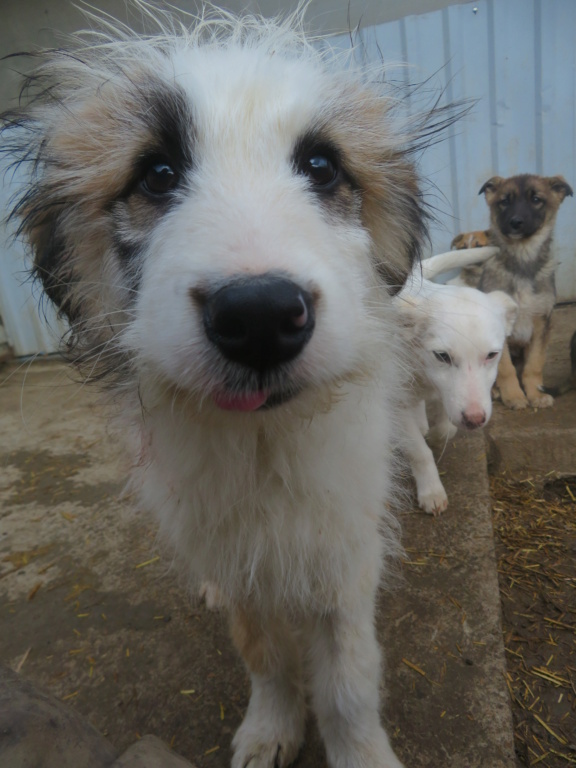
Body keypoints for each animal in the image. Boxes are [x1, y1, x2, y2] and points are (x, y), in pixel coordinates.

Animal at [1, 7, 460, 768]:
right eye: (157, 174)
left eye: (322, 166)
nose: (260, 317)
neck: (261, 441)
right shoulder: (232, 544)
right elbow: (262, 650)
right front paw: (271, 726)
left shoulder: (343, 547)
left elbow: (348, 677)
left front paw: (359, 750)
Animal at [398, 252, 516, 516]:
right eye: (442, 356)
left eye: (492, 355)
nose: (475, 420)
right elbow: (419, 452)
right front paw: (431, 492)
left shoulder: (447, 396)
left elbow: (445, 430)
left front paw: (437, 435)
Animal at [454, 174, 572, 412]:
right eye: (504, 201)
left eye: (536, 199)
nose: (515, 222)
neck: (522, 259)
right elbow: (506, 368)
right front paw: (514, 396)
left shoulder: (542, 321)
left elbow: (534, 364)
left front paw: (535, 394)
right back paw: (494, 391)